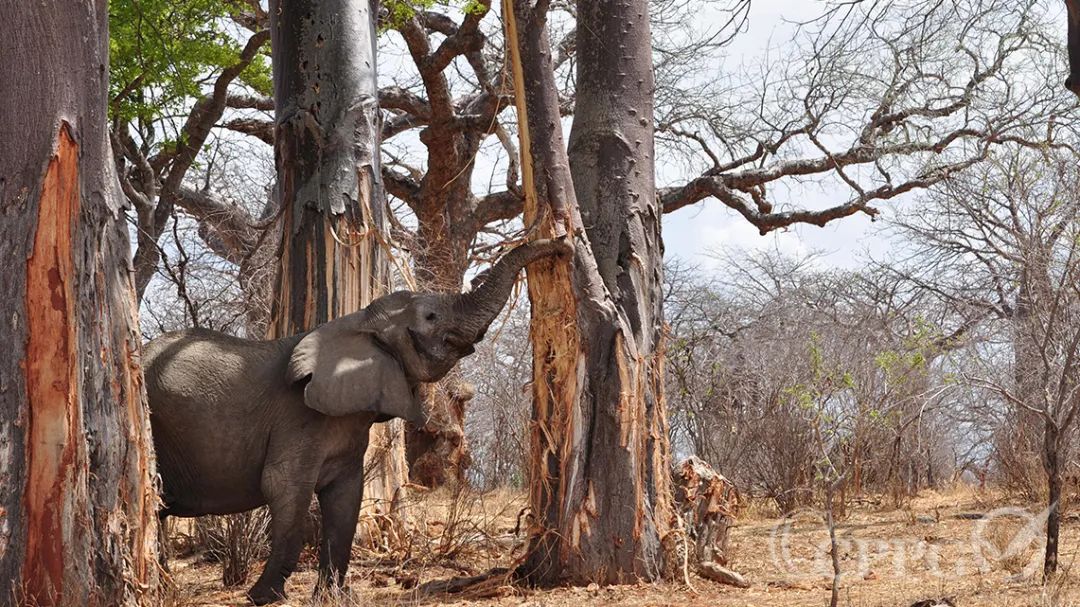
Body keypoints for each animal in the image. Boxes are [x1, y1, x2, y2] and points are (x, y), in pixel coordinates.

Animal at [145, 236, 574, 600]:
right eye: (430, 316)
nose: (564, 244)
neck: (358, 324)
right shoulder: (298, 418)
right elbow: (285, 488)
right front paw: (263, 598)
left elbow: (345, 499)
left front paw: (333, 597)